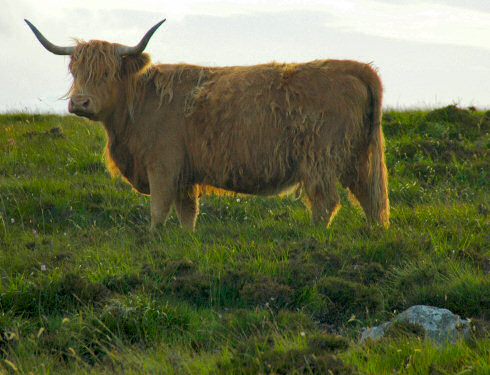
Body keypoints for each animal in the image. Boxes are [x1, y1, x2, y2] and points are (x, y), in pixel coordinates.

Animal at [26, 19, 390, 231]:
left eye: (106, 73)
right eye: (75, 71)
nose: (79, 103)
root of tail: (353, 66)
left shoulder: (163, 167)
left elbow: (158, 212)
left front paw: (154, 242)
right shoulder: (185, 176)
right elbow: (188, 213)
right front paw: (186, 242)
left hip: (320, 159)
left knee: (325, 201)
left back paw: (312, 237)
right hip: (359, 158)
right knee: (371, 199)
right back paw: (374, 236)